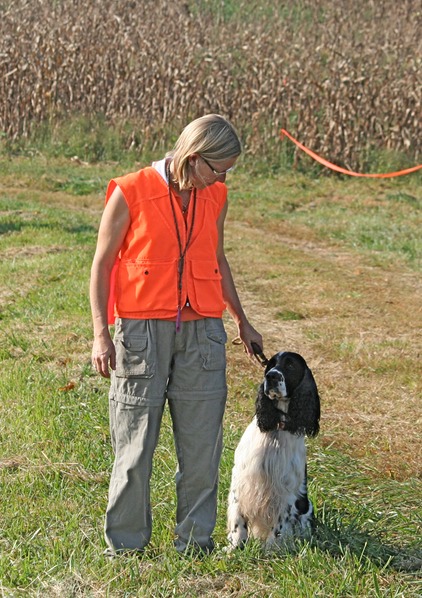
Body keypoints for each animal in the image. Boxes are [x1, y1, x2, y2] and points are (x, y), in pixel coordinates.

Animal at [227, 351, 320, 550]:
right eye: (270, 364)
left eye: (290, 365)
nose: (271, 376)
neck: (277, 427)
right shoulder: (241, 480)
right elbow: (238, 518)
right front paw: (234, 546)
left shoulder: (286, 491)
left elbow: (280, 524)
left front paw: (271, 550)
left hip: (306, 507)